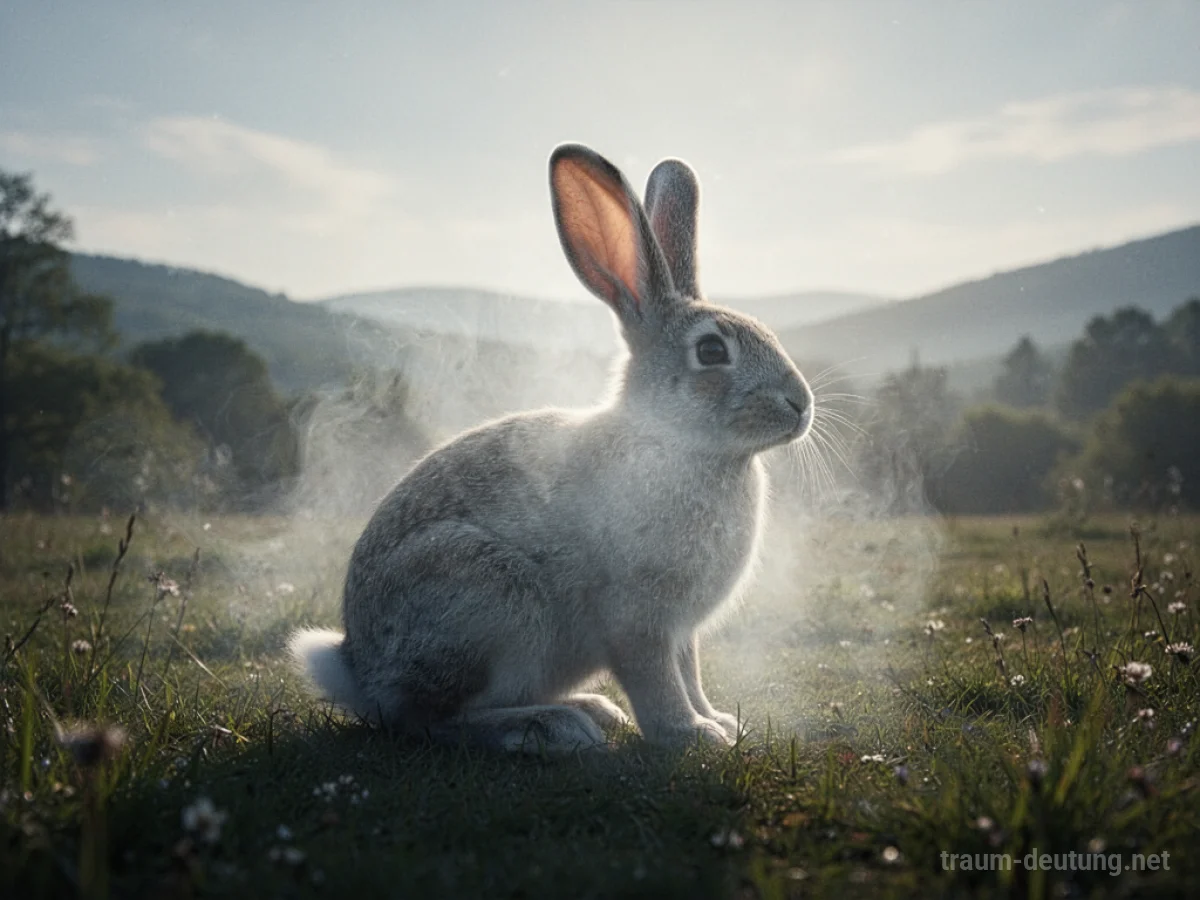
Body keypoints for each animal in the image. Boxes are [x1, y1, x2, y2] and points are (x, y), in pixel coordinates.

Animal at [289, 144, 813, 753]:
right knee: (431, 719)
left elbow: (690, 672)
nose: (801, 404)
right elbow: (657, 679)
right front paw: (690, 734)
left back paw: (591, 710)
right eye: (711, 351)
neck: (679, 441)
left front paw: (721, 722)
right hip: (489, 600)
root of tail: (359, 671)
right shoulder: (638, 618)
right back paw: (550, 727)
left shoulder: (683, 631)